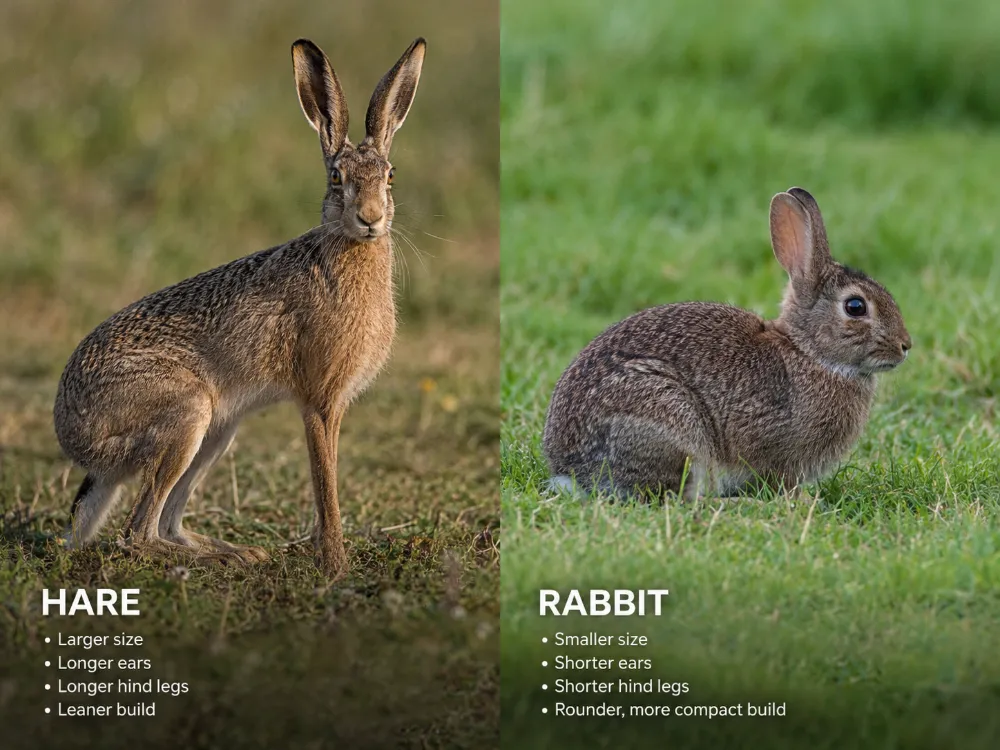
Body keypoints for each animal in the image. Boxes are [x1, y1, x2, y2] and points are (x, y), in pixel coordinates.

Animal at [53, 36, 426, 578]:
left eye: (391, 176)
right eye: (337, 177)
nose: (371, 218)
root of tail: (73, 436)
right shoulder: (319, 402)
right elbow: (326, 484)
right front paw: (335, 564)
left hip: (217, 430)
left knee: (166, 523)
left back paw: (239, 552)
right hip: (187, 413)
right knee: (137, 534)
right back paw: (224, 558)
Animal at [543, 187, 911, 500]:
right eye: (855, 307)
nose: (906, 346)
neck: (809, 352)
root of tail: (572, 472)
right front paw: (803, 501)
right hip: (671, 424)